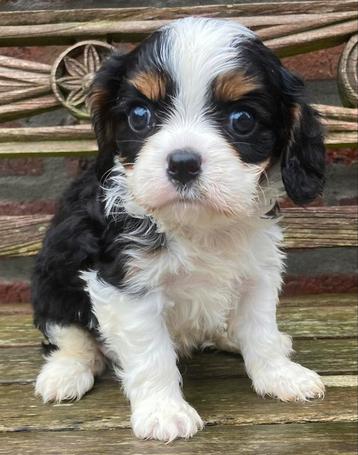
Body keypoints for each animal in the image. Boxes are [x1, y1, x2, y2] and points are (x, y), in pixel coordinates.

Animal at [34, 17, 328, 442]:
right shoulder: (126, 284)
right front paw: (163, 412)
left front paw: (280, 376)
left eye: (242, 120)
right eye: (139, 115)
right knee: (70, 337)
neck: (199, 225)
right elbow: (151, 354)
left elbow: (260, 330)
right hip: (51, 279)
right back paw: (66, 372)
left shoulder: (258, 270)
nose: (183, 163)